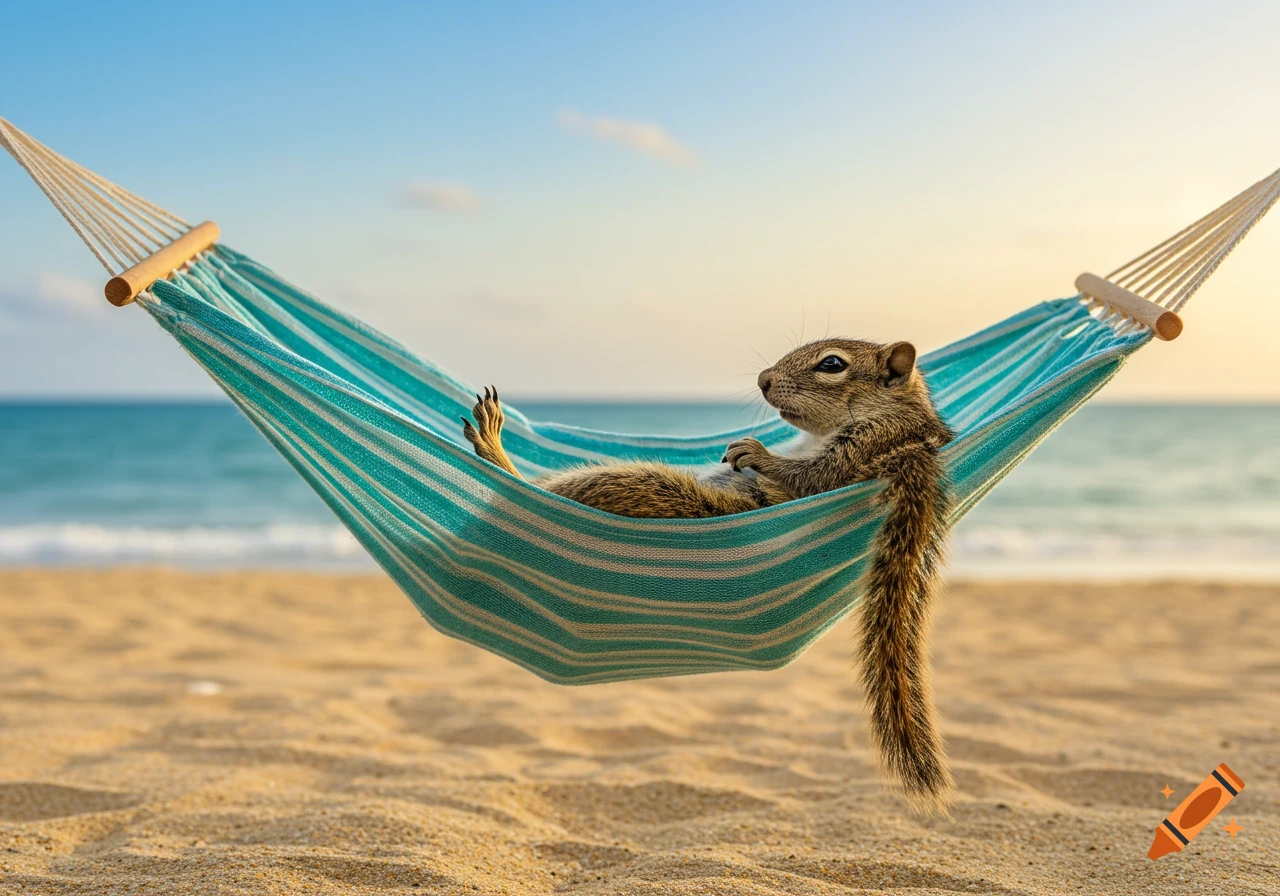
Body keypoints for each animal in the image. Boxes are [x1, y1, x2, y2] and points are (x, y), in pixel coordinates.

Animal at [462, 338, 957, 811]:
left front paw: (757, 452)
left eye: (832, 364)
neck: (908, 435)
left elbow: (805, 478)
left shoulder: (862, 450)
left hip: (636, 484)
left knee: (529, 492)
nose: (763, 379)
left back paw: (495, 452)